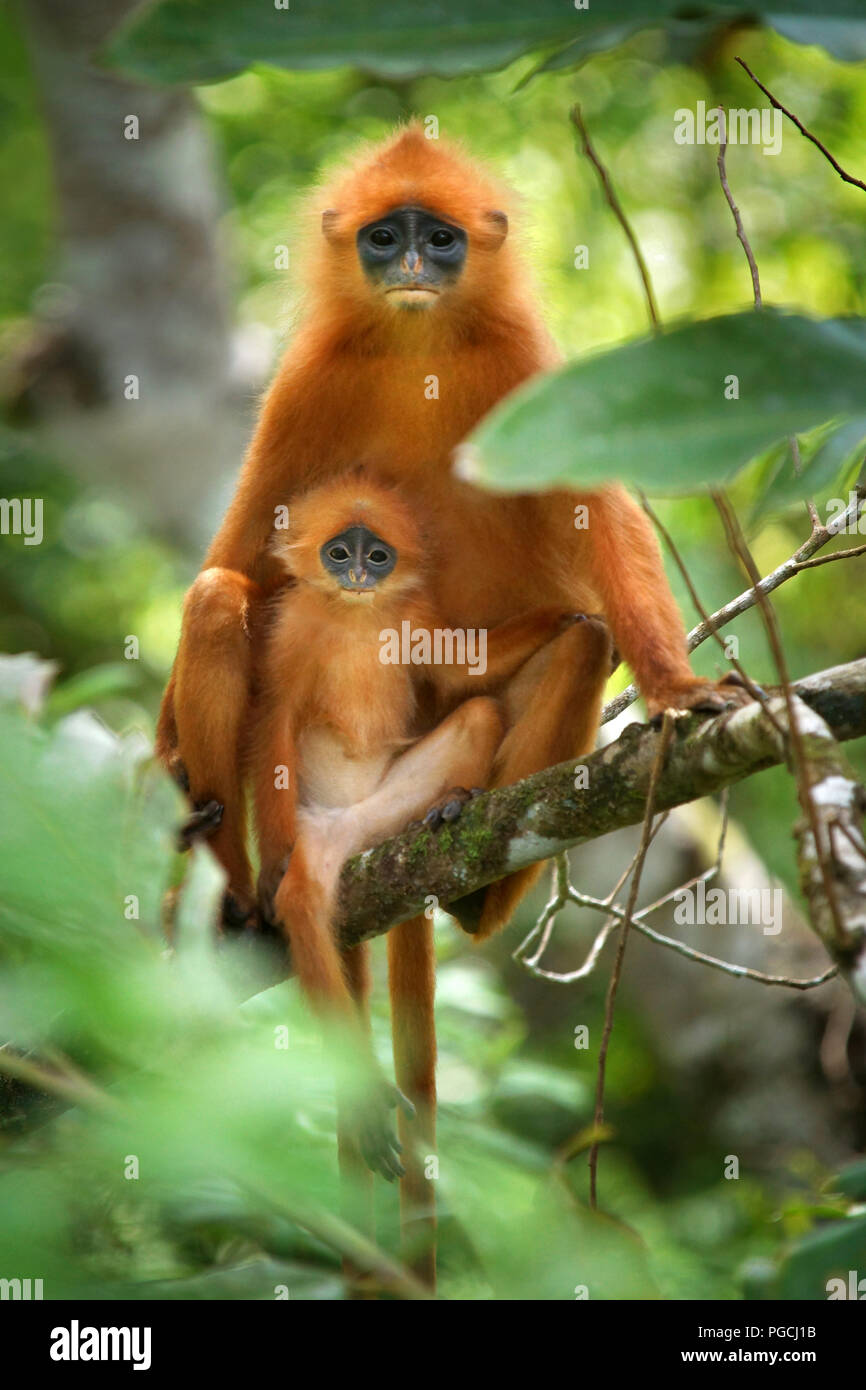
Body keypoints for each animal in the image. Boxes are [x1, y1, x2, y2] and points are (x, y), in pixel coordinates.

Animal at [159, 125, 750, 928]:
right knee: (217, 597)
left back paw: (469, 873)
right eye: (383, 238)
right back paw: (235, 893)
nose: (411, 264)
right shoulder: (307, 381)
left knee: (583, 644)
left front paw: (675, 688)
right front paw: (168, 761)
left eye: (440, 239)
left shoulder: (524, 360)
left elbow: (605, 521)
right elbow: (246, 547)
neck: (420, 345)